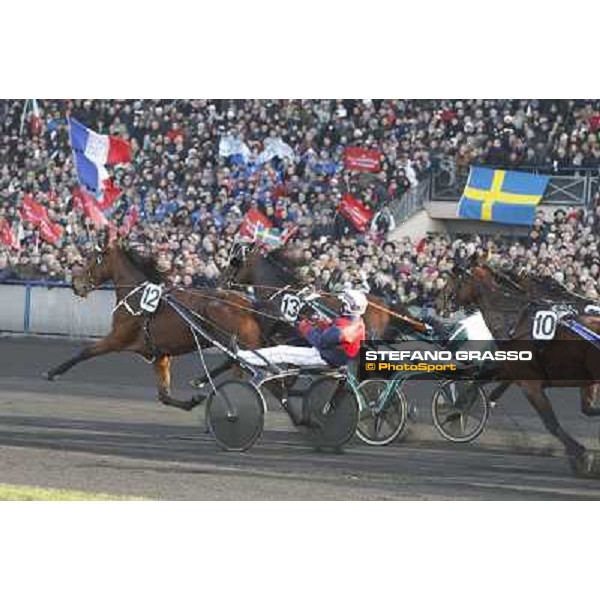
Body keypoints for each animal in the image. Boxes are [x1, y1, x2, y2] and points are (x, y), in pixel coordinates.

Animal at [43, 239, 264, 412]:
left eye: (90, 259)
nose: (75, 285)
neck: (137, 296)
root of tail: (247, 303)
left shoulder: (117, 339)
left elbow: (85, 352)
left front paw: (53, 372)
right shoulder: (160, 355)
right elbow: (164, 395)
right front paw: (191, 401)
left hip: (229, 340)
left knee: (234, 361)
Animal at [438, 262, 600, 478]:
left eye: (453, 278)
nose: (439, 301)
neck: (516, 321)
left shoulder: (529, 383)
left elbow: (551, 422)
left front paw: (581, 456)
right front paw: (456, 414)